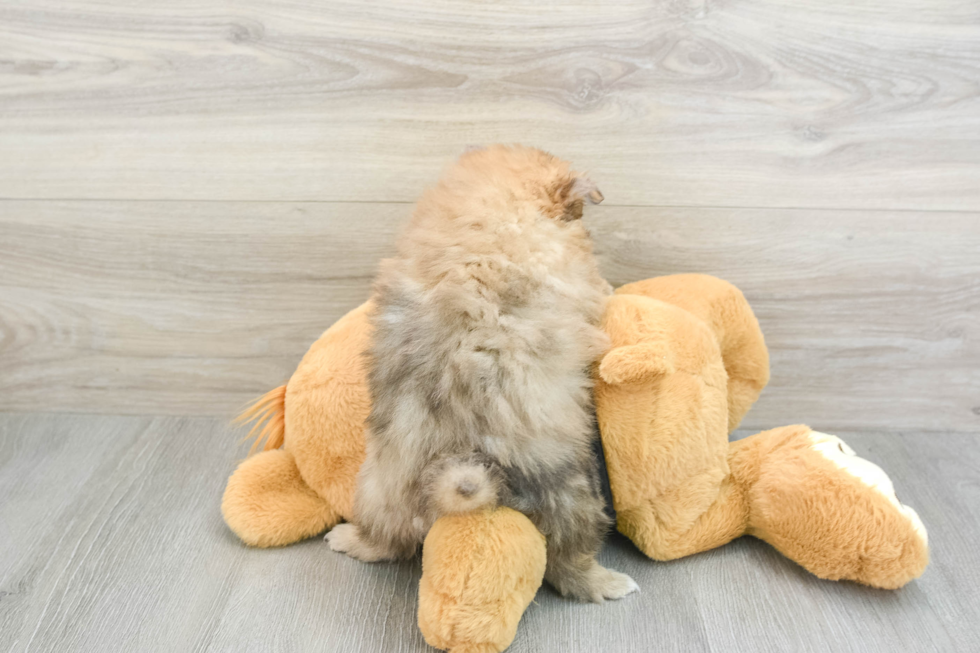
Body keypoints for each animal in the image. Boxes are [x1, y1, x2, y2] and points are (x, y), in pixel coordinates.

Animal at [326, 143, 640, 600]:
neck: (490, 215)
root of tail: (455, 472)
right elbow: (597, 289)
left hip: (375, 487)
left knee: (388, 541)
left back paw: (349, 539)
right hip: (572, 490)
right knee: (568, 563)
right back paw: (609, 583)